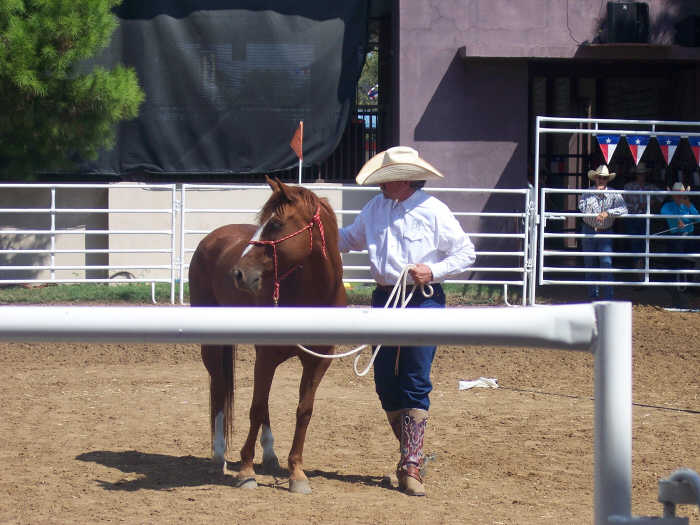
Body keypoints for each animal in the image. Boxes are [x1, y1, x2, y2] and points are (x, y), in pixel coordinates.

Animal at [189, 176, 348, 492]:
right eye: (261, 222)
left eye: (275, 223)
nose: (239, 274)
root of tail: (209, 239)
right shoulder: (266, 355)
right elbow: (256, 406)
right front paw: (246, 470)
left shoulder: (318, 361)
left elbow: (303, 410)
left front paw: (296, 472)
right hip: (213, 345)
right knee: (219, 387)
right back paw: (219, 455)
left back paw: (271, 455)